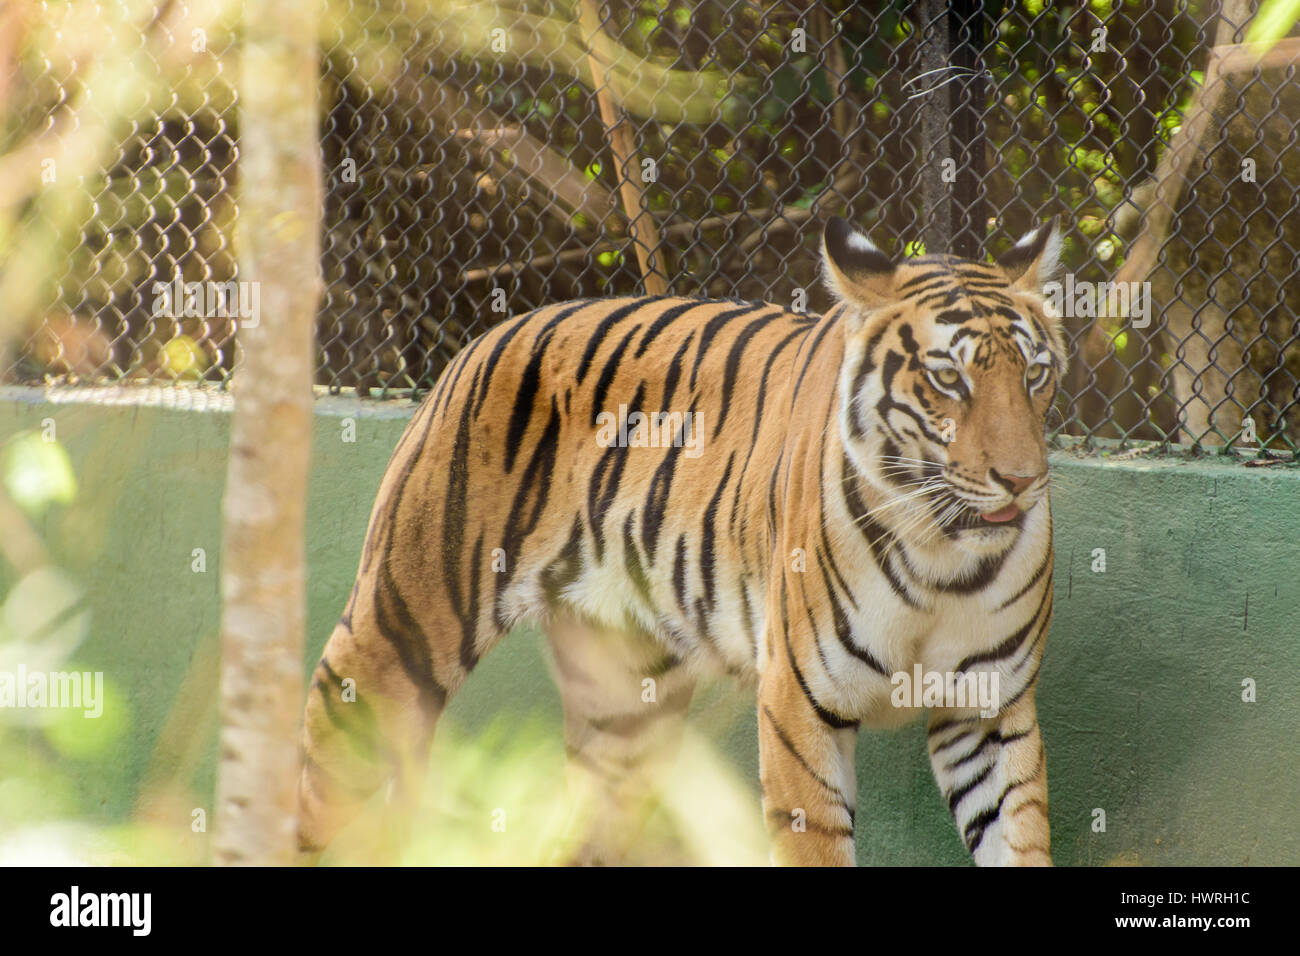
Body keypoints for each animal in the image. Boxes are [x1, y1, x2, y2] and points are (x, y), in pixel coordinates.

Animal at [297, 215, 1065, 866]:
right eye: (948, 379)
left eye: (1035, 374)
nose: (1022, 480)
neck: (945, 557)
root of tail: (486, 337)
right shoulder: (799, 706)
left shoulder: (989, 709)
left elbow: (1018, 838)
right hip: (398, 634)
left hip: (626, 711)